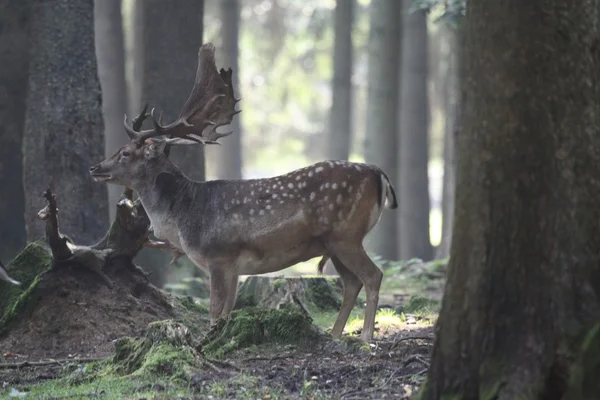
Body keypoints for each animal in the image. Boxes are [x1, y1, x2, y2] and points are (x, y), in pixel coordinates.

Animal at [89, 43, 396, 340]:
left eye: (126, 153)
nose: (95, 168)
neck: (184, 216)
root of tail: (378, 173)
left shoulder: (218, 255)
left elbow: (215, 310)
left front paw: (206, 343)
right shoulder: (235, 267)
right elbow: (227, 311)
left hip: (346, 235)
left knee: (373, 275)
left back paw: (365, 337)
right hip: (335, 243)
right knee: (352, 282)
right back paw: (334, 335)